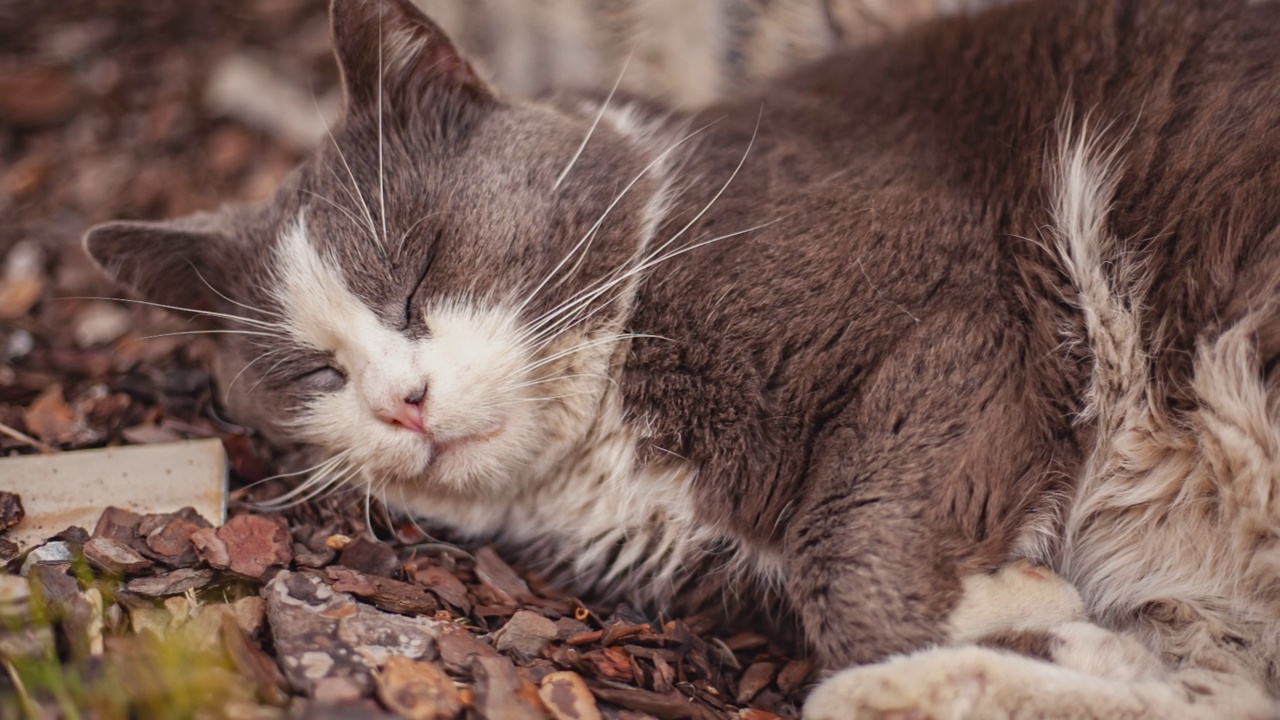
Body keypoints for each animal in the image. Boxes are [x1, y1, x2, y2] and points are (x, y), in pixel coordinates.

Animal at [82, 0, 1280, 712]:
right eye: (312, 372)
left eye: (418, 272)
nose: (404, 401)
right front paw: (1044, 632)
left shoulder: (964, 299)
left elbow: (850, 540)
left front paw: (1019, 641)